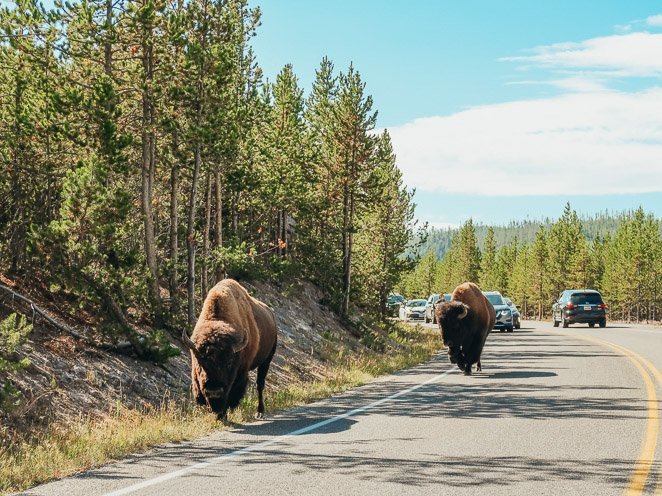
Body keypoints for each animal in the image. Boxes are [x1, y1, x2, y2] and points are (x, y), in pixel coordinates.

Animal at [180, 280, 278, 418]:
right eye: (199, 361)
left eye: (229, 362)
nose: (214, 390)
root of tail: (271, 314)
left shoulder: (241, 373)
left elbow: (232, 393)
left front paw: (223, 414)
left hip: (266, 360)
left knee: (260, 384)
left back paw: (259, 412)